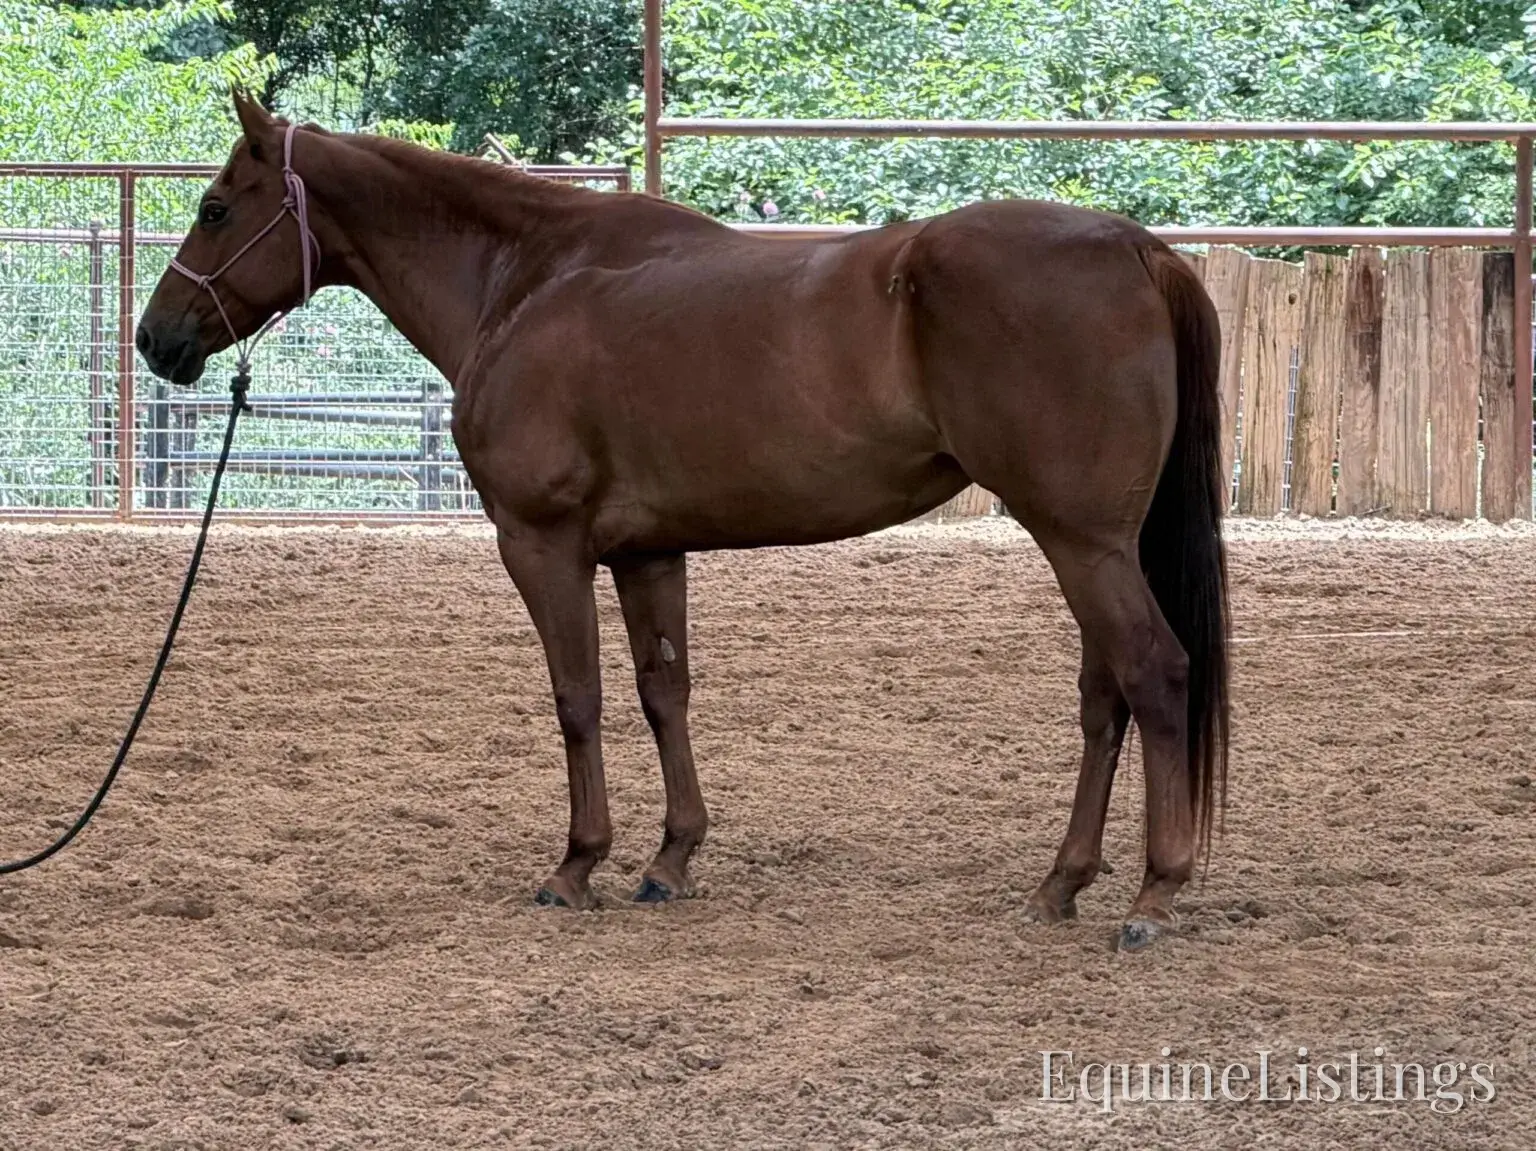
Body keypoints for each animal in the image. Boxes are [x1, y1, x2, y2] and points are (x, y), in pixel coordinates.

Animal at [136, 91, 1230, 951]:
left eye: (214, 207)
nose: (156, 338)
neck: (528, 278)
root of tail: (1138, 250)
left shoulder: (542, 544)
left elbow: (577, 696)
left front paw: (577, 864)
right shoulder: (649, 552)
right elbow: (665, 691)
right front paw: (671, 857)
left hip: (1082, 543)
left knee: (1155, 673)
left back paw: (1154, 893)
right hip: (1088, 543)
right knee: (1104, 696)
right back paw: (1061, 882)